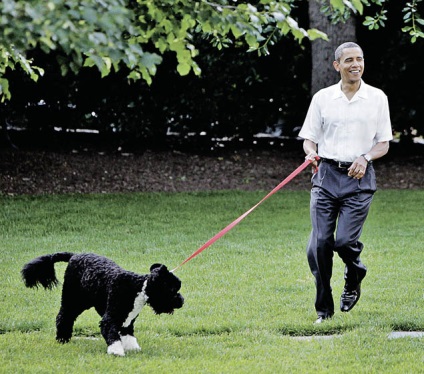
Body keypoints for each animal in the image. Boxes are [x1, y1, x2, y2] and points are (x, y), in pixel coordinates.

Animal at [21, 253, 184, 356]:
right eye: (173, 289)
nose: (182, 301)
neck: (137, 288)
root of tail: (74, 255)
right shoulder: (110, 318)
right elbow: (112, 334)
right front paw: (116, 351)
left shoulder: (127, 319)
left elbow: (127, 333)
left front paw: (133, 348)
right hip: (73, 299)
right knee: (64, 316)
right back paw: (62, 339)